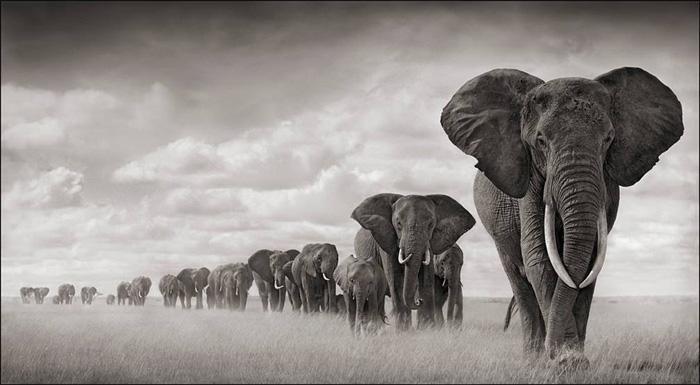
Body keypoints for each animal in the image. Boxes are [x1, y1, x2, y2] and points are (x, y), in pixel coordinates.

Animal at [350, 192, 476, 330]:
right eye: (398, 223)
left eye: (431, 225)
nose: (418, 301)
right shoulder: (386, 239)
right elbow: (396, 278)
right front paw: (404, 331)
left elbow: (426, 277)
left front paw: (427, 329)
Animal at [442, 66, 684, 364]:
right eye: (541, 141)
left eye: (608, 139)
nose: (556, 352)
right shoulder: (529, 181)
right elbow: (540, 258)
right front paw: (565, 361)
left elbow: (589, 263)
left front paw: (573, 359)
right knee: (519, 280)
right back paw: (532, 357)